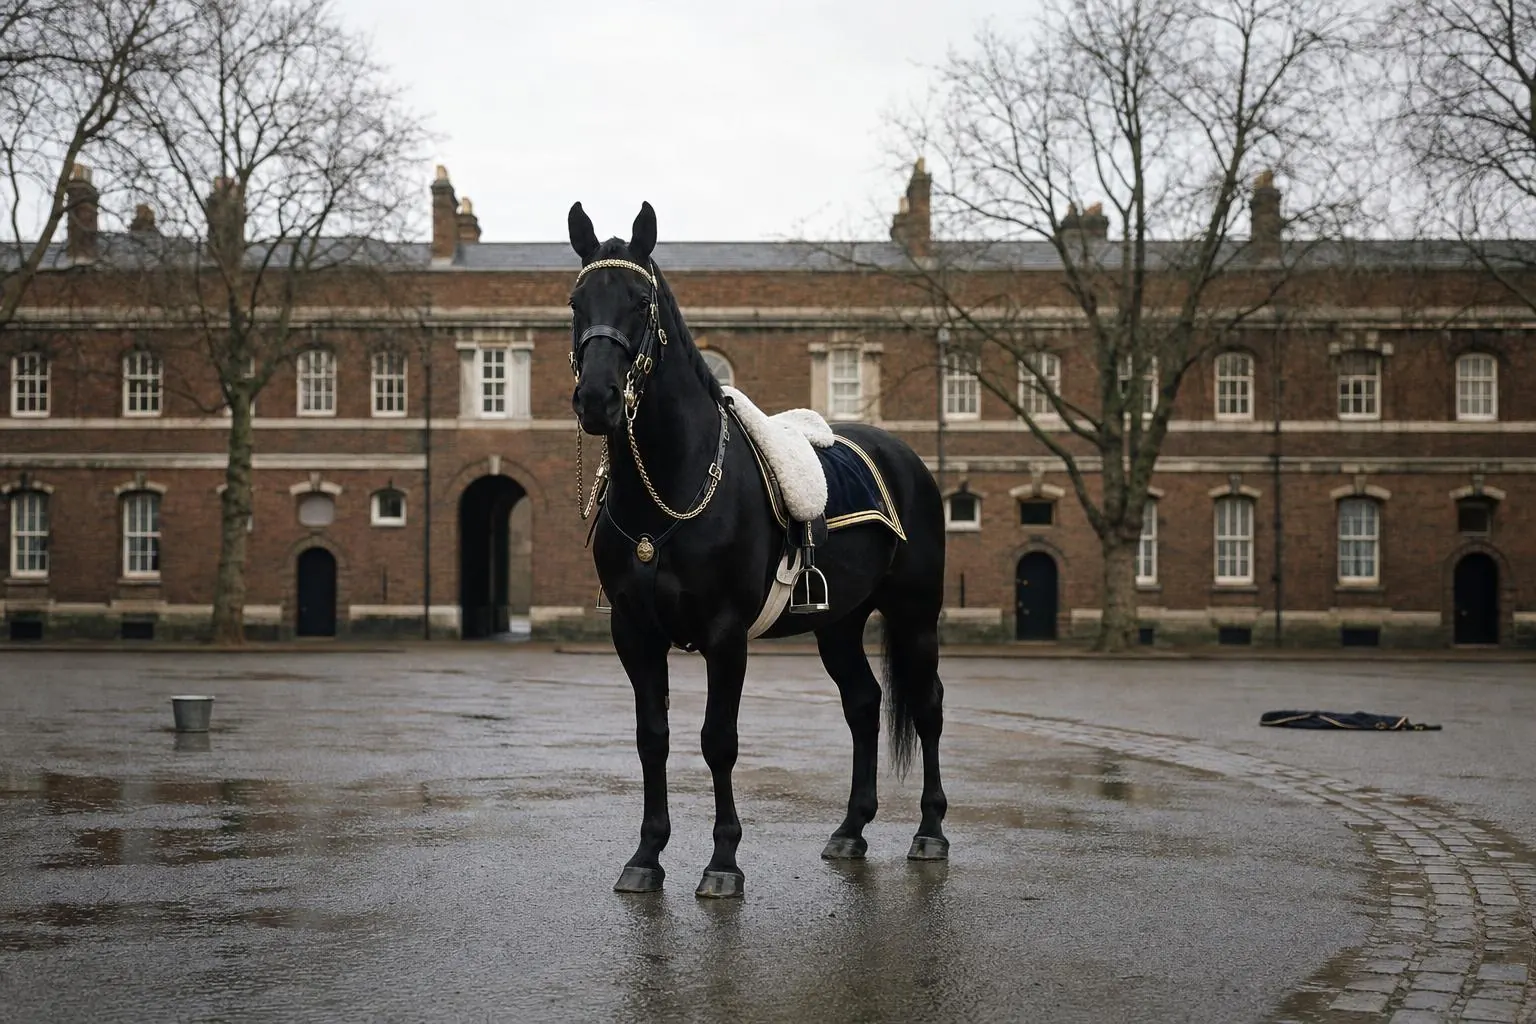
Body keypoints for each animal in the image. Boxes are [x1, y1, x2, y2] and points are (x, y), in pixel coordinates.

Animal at [567, 201, 949, 899]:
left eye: (641, 300)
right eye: (577, 301)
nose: (597, 399)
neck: (674, 483)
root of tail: (905, 457)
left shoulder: (725, 635)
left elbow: (718, 740)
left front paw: (723, 862)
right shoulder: (635, 633)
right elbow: (652, 737)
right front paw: (647, 855)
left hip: (915, 614)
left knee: (927, 706)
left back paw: (930, 831)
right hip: (839, 623)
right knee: (863, 705)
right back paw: (851, 829)